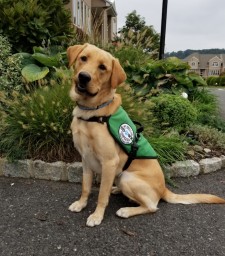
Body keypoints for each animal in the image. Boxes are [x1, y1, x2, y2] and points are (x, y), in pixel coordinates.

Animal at [67, 43, 225, 227]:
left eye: (102, 67)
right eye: (83, 58)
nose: (83, 77)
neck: (91, 112)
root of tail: (164, 189)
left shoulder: (109, 162)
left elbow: (101, 195)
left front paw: (97, 215)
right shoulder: (85, 159)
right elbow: (85, 187)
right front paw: (81, 204)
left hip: (127, 177)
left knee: (152, 206)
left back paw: (126, 210)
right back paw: (116, 190)